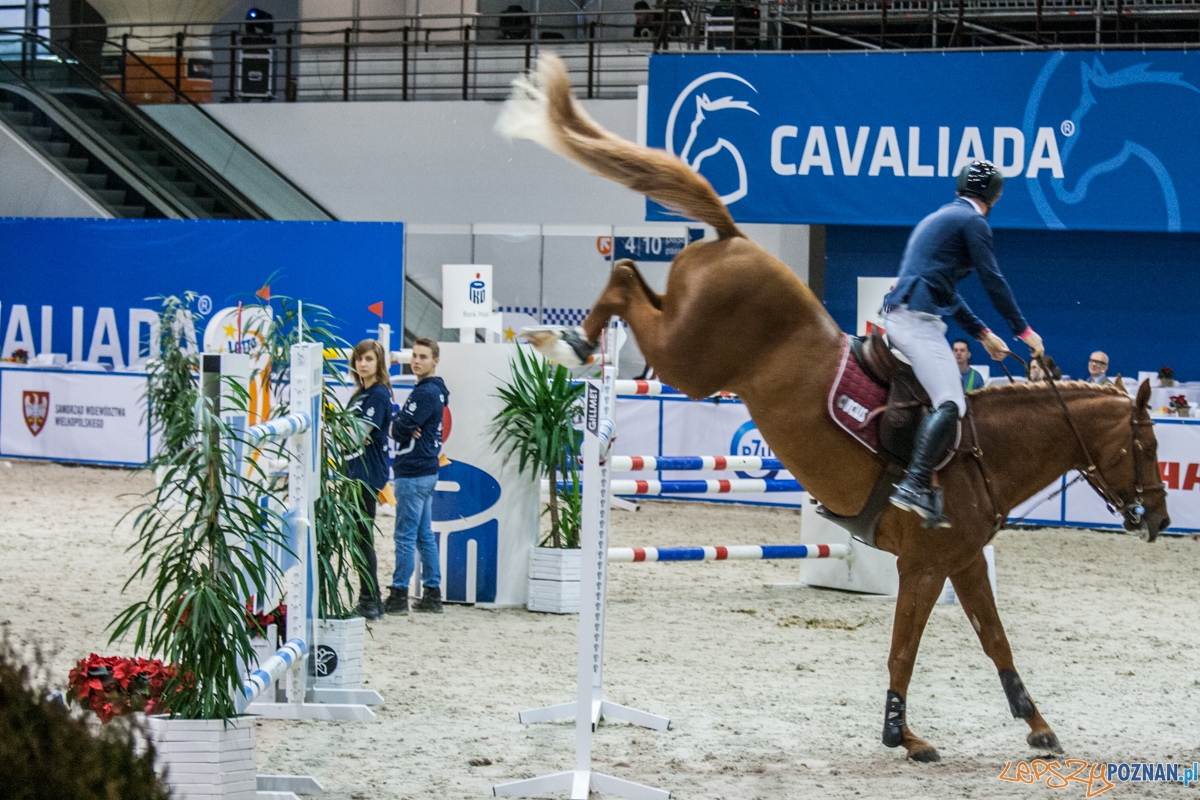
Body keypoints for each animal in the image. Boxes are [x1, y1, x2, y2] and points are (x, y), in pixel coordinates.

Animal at [496, 53, 1171, 762]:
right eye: (1147, 445)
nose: (1159, 518)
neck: (988, 449)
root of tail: (735, 236)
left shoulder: (961, 563)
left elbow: (994, 641)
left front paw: (1036, 724)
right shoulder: (924, 564)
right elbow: (905, 650)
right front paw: (903, 734)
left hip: (686, 341)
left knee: (630, 272)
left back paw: (570, 340)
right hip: (690, 362)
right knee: (625, 273)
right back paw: (565, 341)